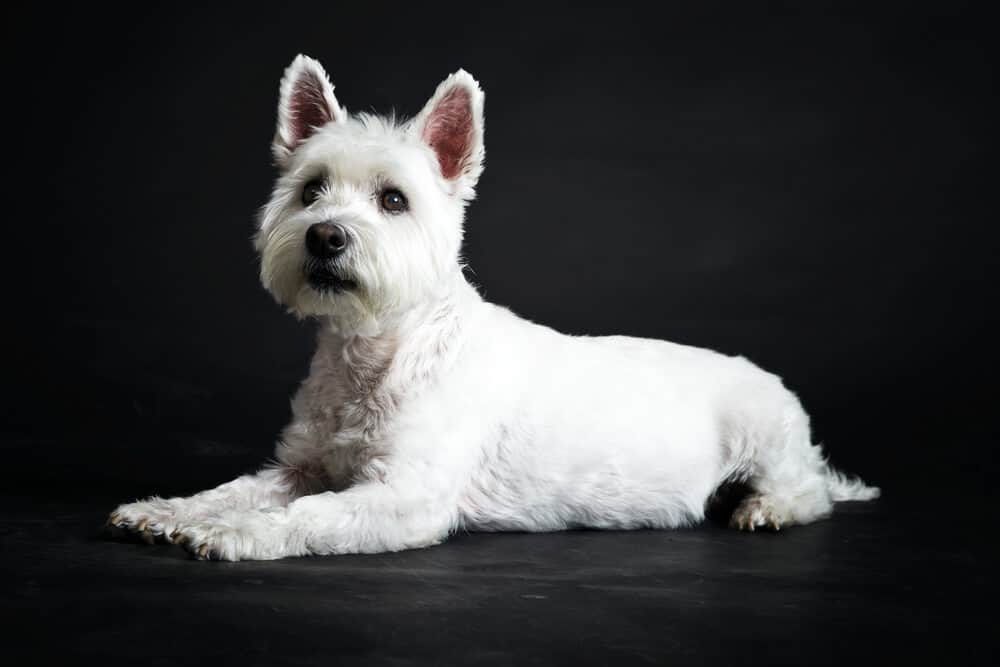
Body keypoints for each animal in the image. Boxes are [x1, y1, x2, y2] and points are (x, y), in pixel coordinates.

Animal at [105, 54, 880, 560]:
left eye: (393, 199)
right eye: (310, 190)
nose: (326, 236)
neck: (380, 348)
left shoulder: (404, 497)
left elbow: (307, 516)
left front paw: (229, 533)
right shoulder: (301, 465)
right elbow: (240, 485)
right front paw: (166, 510)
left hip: (766, 431)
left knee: (809, 489)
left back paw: (763, 507)